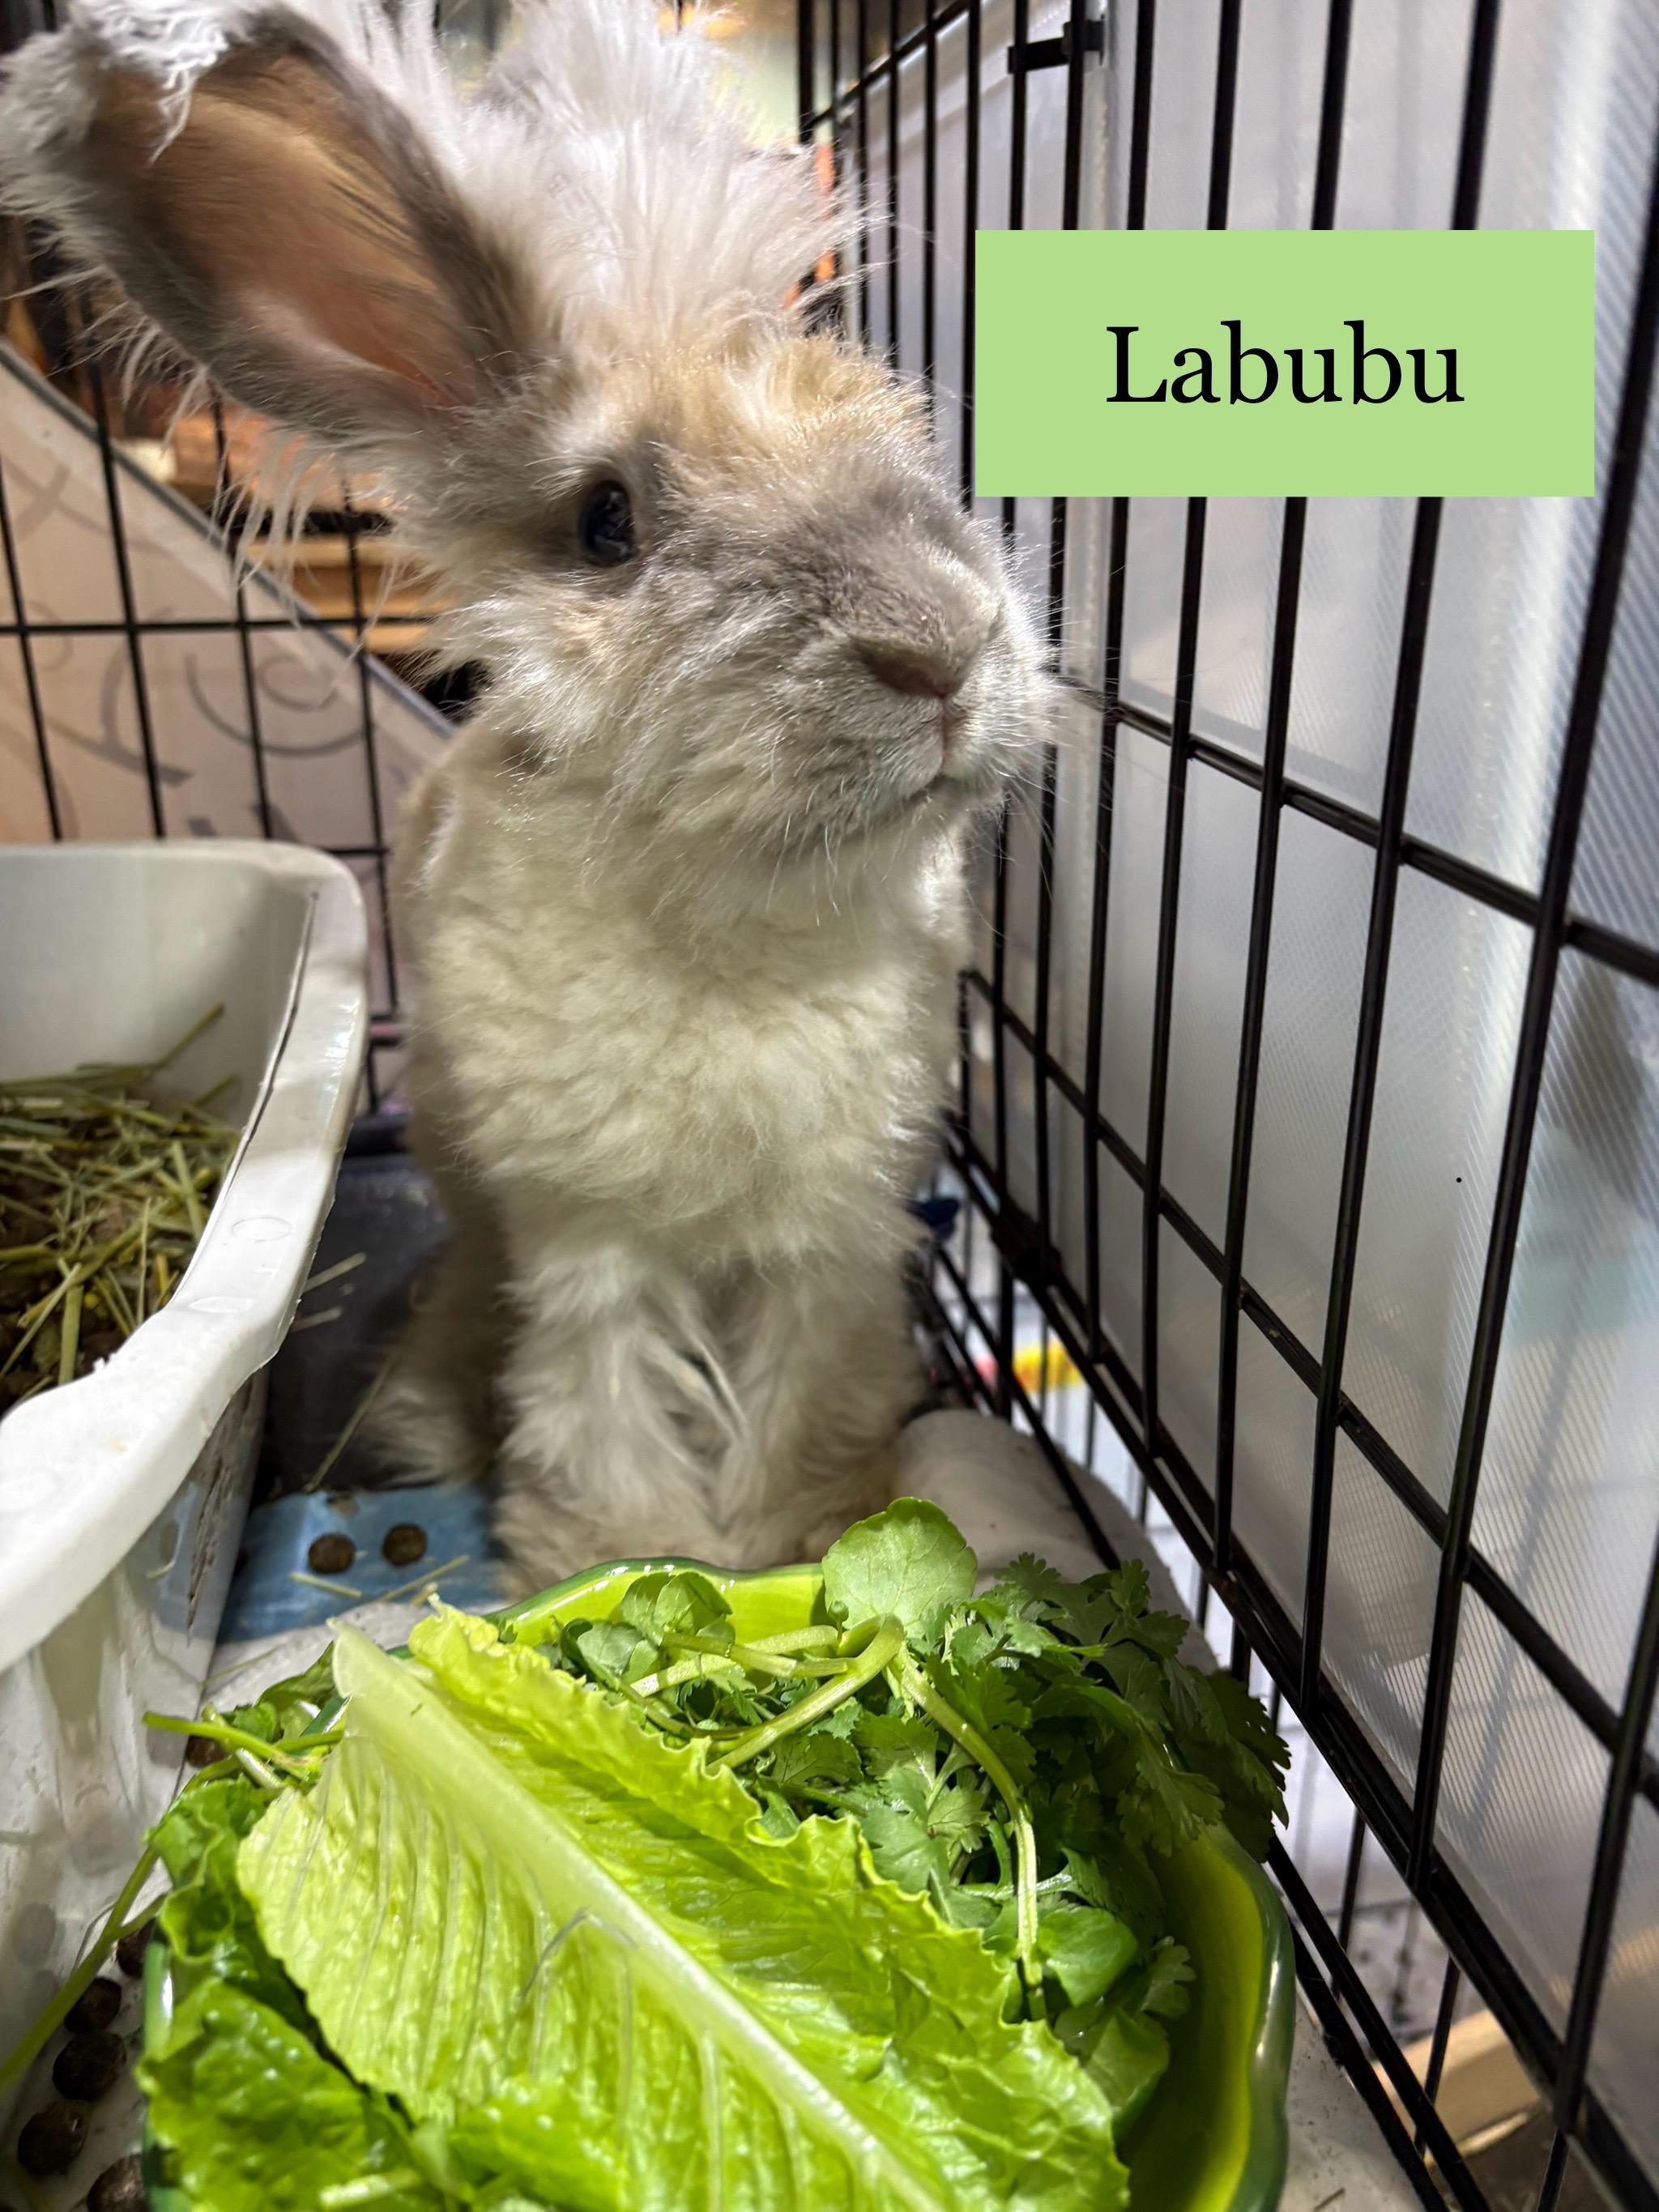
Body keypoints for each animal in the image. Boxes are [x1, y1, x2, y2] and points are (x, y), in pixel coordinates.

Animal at [0, 0, 1048, 1589]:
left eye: (901, 440)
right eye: (606, 521)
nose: (943, 643)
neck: (738, 910)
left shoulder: (830, 1239)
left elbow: (807, 1380)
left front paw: (805, 1530)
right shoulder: (585, 1242)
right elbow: (597, 1387)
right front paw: (620, 1549)